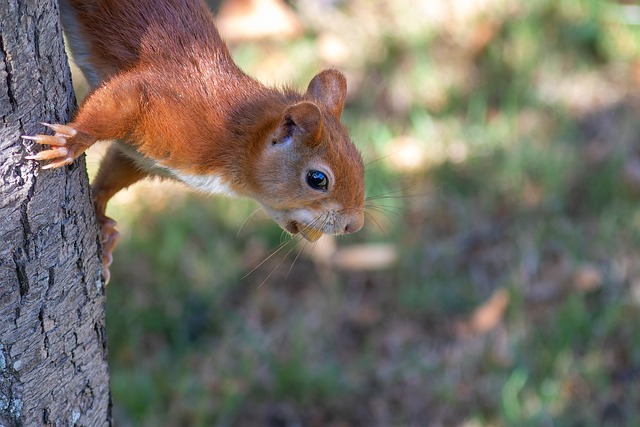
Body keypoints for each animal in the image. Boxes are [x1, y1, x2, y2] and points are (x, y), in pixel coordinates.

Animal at [23, 0, 364, 284]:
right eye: (317, 179)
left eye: (360, 164)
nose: (355, 226)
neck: (233, 131)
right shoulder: (163, 102)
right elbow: (119, 98)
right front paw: (70, 141)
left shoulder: (144, 156)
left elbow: (115, 173)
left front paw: (102, 222)